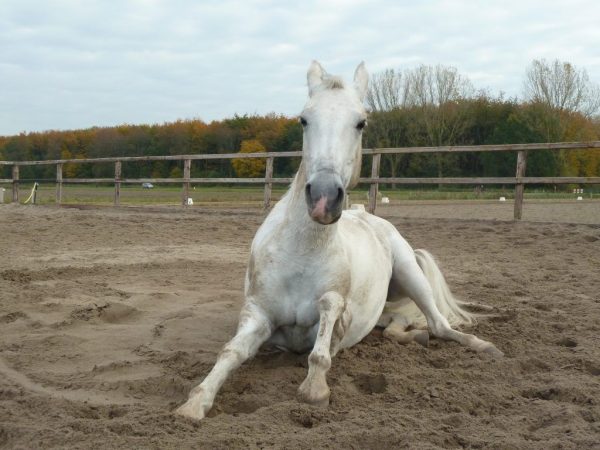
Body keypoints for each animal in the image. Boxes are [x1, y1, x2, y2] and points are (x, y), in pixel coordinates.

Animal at [175, 61, 502, 420]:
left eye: (361, 123)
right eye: (303, 119)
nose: (323, 197)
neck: (300, 253)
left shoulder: (335, 313)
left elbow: (322, 345)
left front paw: (316, 389)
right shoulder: (258, 314)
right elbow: (230, 352)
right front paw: (194, 403)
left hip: (410, 272)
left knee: (440, 324)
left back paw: (483, 346)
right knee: (398, 326)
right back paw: (417, 337)